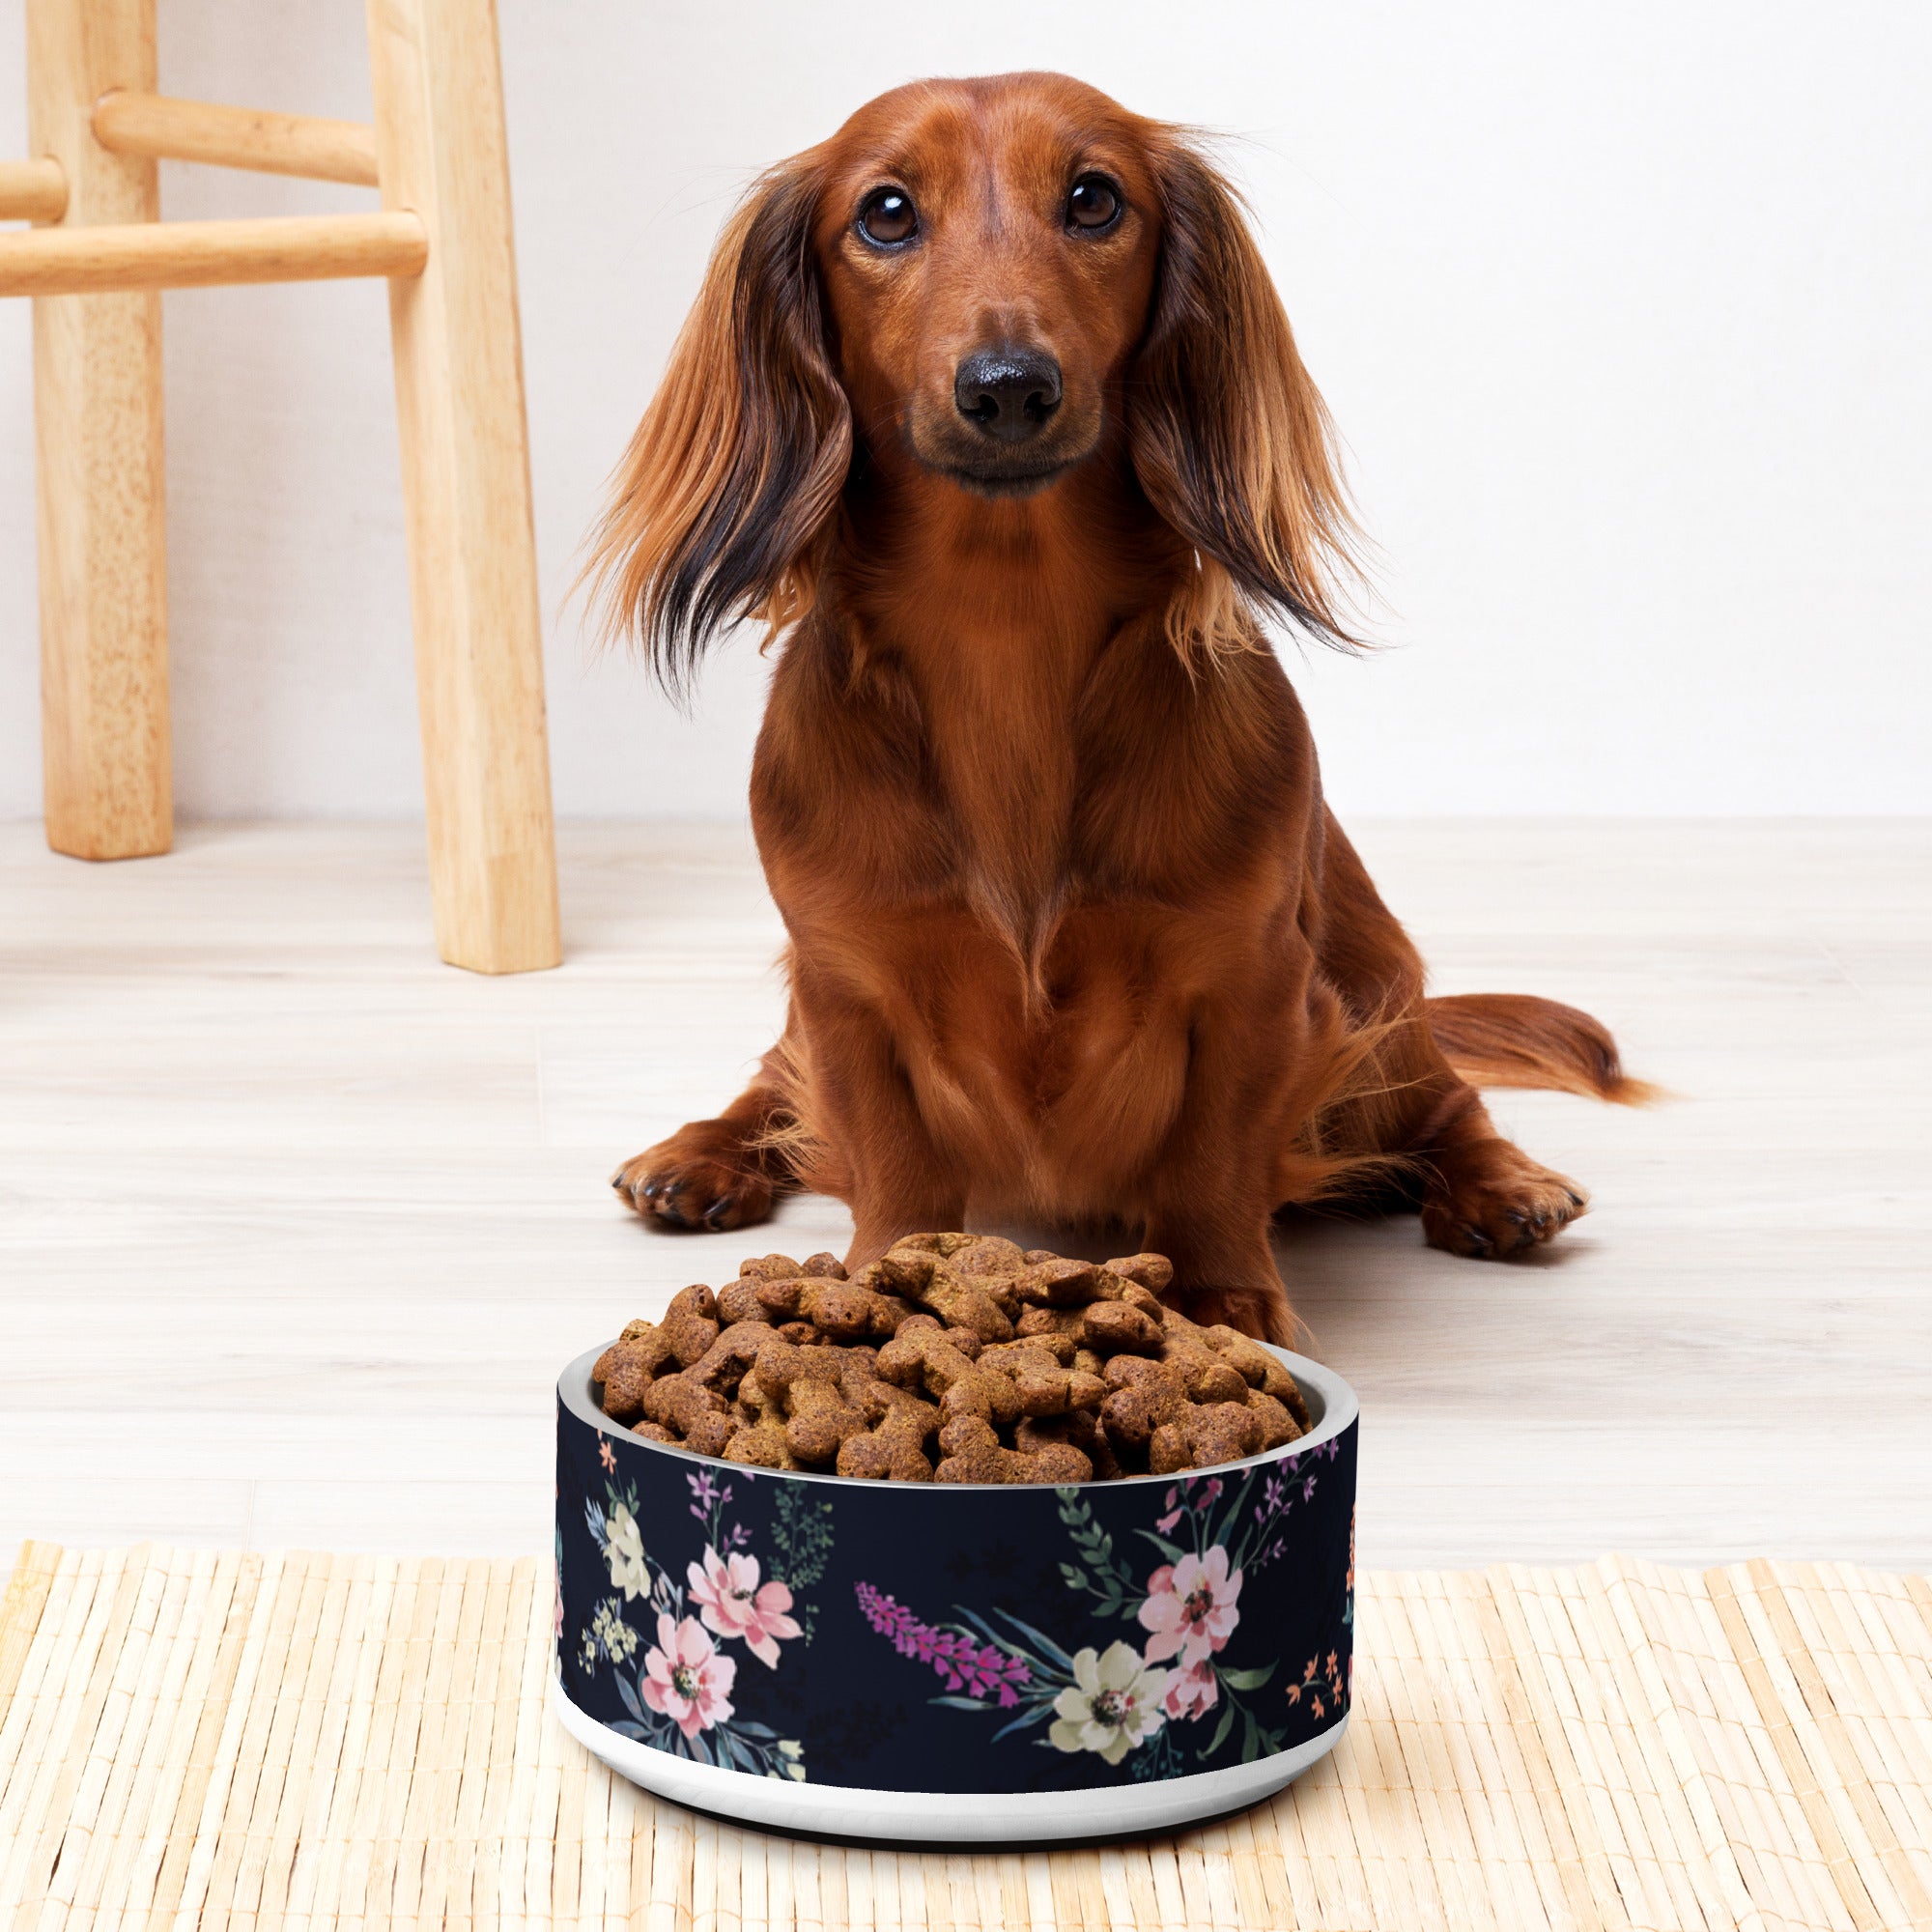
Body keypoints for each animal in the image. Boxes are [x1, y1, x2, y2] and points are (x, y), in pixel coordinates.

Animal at [591, 75, 1646, 1345]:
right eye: (884, 212)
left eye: (1093, 198)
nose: (1007, 387)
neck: (1005, 633)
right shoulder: (845, 983)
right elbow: (888, 1156)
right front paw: (884, 1282)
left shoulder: (1251, 980)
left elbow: (1211, 1159)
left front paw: (1226, 1298)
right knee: (770, 1084)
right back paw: (698, 1154)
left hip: (1375, 998)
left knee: (1445, 1101)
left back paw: (1501, 1184)